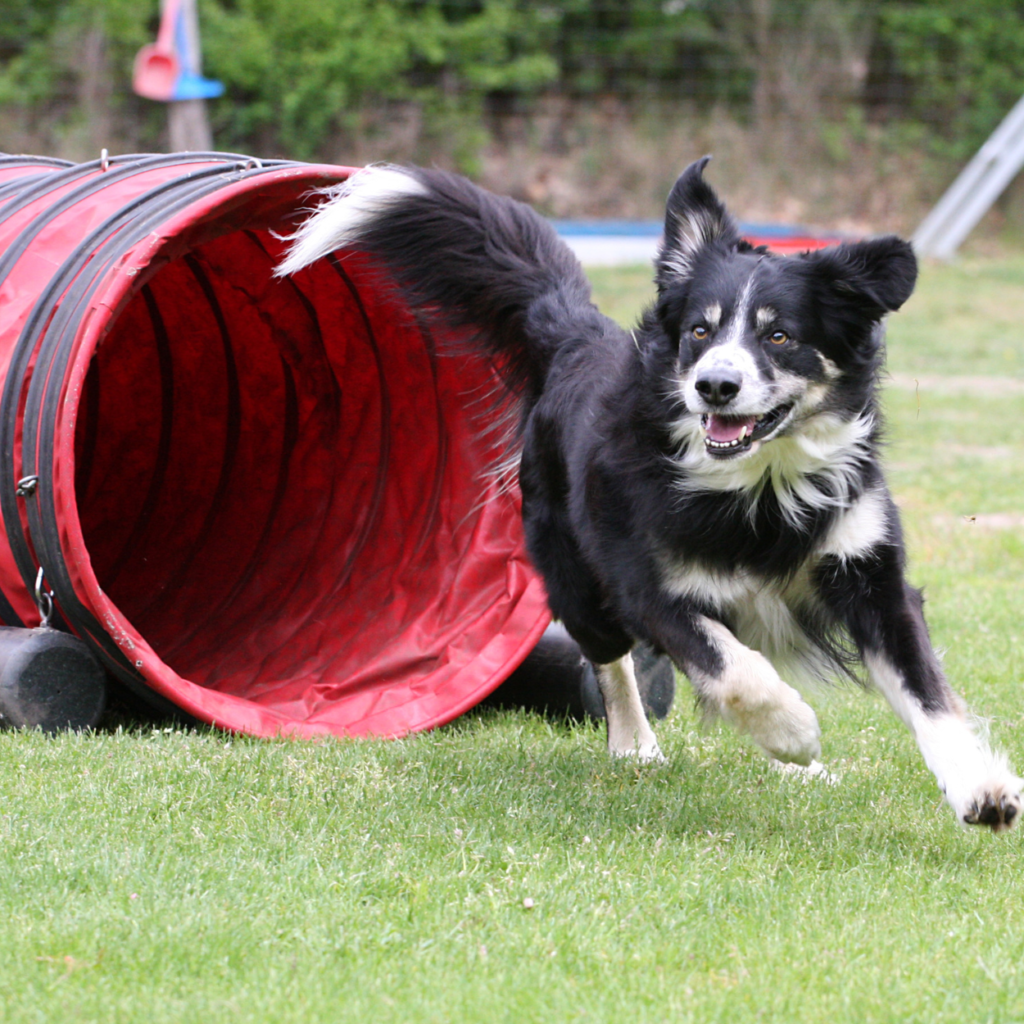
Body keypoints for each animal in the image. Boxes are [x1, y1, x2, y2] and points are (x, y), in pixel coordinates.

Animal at [276, 157, 1019, 831]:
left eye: (780, 335)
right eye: (700, 330)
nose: (714, 386)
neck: (761, 487)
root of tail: (577, 336)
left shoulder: (868, 572)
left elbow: (926, 691)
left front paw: (980, 788)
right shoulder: (648, 583)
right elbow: (730, 668)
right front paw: (793, 729)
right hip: (575, 573)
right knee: (611, 658)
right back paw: (640, 745)